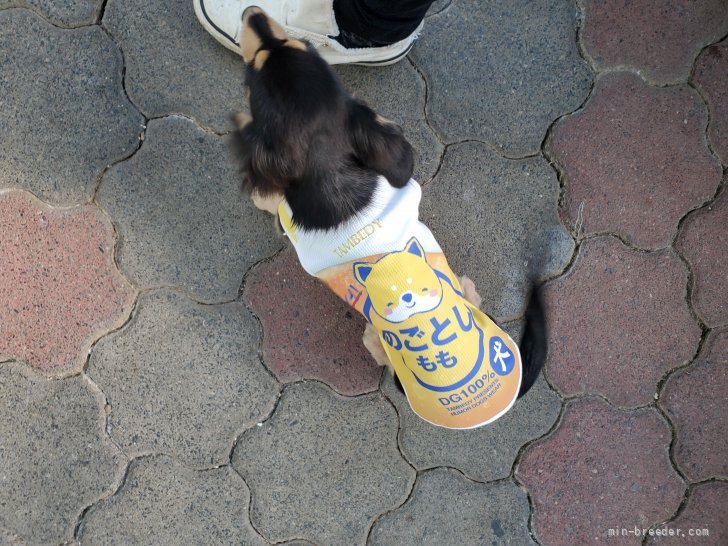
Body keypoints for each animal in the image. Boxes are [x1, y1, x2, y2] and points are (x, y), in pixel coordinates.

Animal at [230, 7, 546, 429]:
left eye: (253, 73)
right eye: (303, 45)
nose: (253, 13)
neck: (334, 177)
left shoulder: (279, 201)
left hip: (374, 338)